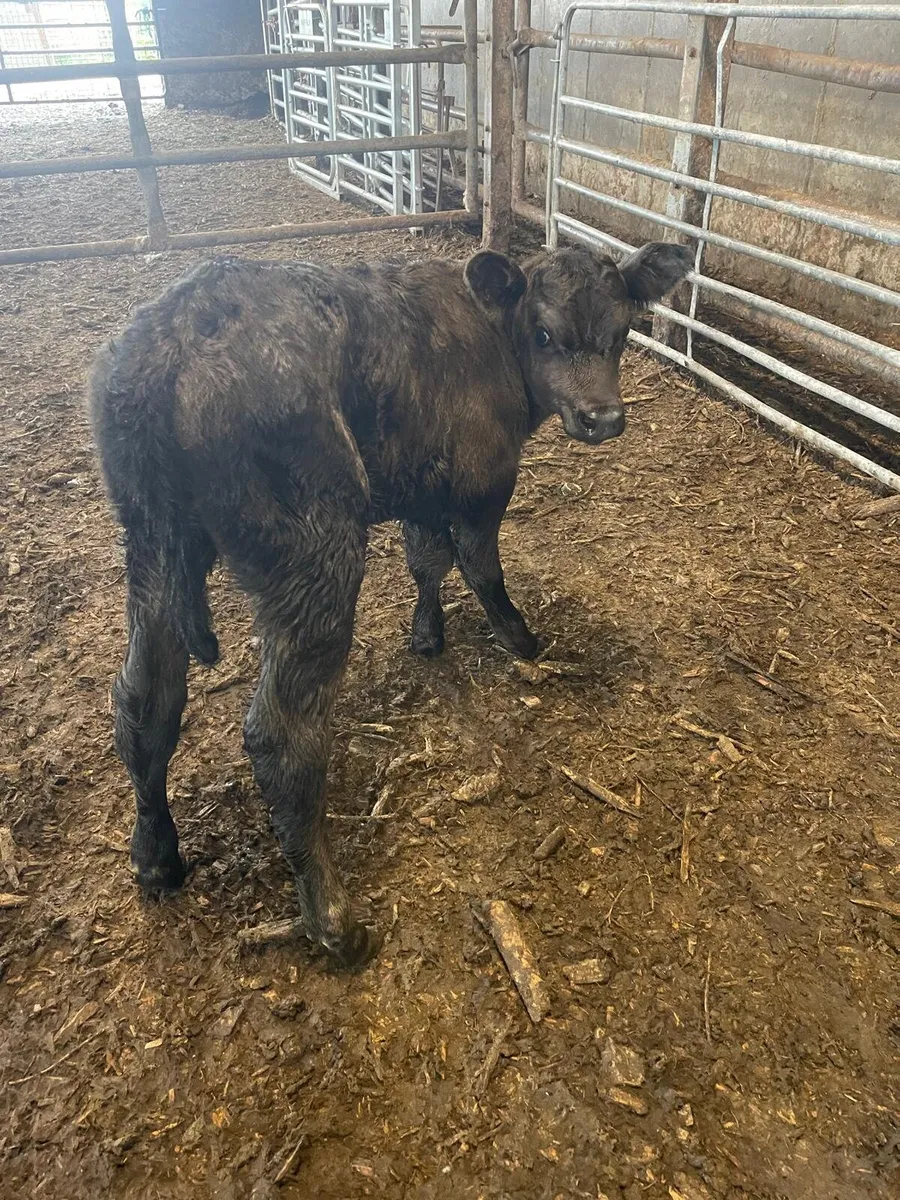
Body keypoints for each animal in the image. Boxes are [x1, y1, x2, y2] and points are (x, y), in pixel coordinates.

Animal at [89, 241, 691, 967]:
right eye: (545, 334)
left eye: (624, 331)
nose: (603, 418)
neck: (494, 335)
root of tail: (174, 329)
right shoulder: (483, 481)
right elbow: (478, 564)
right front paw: (521, 640)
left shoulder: (424, 484)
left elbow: (426, 558)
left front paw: (427, 637)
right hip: (314, 552)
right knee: (279, 736)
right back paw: (332, 920)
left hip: (152, 549)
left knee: (144, 701)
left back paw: (156, 858)